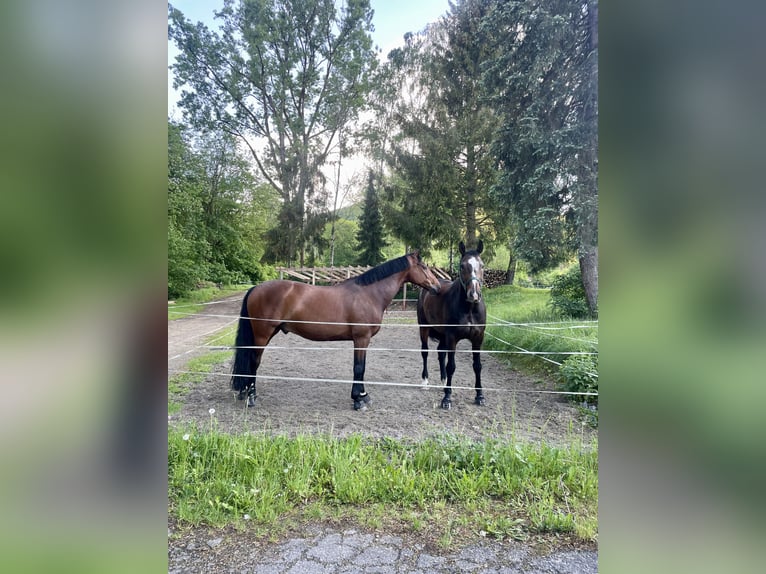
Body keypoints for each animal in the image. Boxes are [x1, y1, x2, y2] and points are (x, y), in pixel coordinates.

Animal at [231, 252, 440, 410]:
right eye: (424, 267)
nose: (437, 286)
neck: (369, 294)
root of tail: (255, 288)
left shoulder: (362, 340)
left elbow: (361, 367)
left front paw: (363, 395)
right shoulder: (361, 338)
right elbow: (359, 367)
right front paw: (358, 400)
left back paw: (244, 392)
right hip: (262, 334)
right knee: (254, 362)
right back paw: (251, 396)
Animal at [416, 241, 488, 412]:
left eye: (482, 265)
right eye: (462, 266)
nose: (474, 295)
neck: (469, 309)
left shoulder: (478, 339)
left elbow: (477, 366)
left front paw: (479, 396)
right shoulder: (452, 338)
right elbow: (451, 366)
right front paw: (447, 398)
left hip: (442, 335)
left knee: (440, 353)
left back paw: (443, 382)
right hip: (424, 328)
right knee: (425, 352)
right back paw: (425, 381)